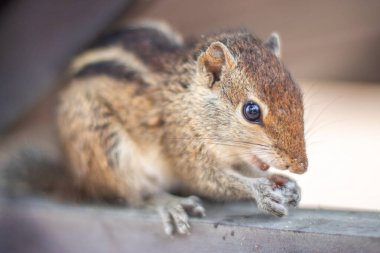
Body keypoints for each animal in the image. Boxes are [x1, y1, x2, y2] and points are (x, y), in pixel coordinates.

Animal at [1, 19, 308, 235]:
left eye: (298, 95)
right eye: (251, 111)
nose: (301, 166)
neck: (187, 101)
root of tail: (76, 179)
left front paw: (289, 187)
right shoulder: (183, 144)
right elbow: (208, 180)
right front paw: (260, 191)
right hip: (106, 147)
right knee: (136, 194)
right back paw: (169, 202)